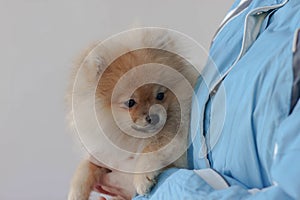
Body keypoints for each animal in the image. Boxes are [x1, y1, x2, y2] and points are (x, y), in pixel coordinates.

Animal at [67, 28, 200, 200]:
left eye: (160, 95)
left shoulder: (173, 138)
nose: (154, 117)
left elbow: (151, 150)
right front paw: (76, 192)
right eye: (130, 102)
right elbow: (85, 167)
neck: (135, 138)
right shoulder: (102, 154)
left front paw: (142, 179)